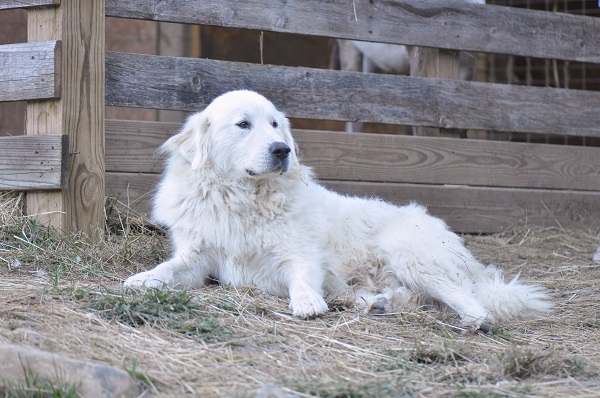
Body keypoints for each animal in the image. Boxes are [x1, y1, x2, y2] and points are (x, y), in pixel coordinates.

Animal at [124, 91, 552, 332]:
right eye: (243, 124)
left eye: (275, 124)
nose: (283, 149)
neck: (242, 198)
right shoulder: (199, 257)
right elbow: (169, 268)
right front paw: (142, 280)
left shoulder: (298, 253)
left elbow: (301, 277)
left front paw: (307, 304)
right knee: (405, 297)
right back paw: (378, 304)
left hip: (410, 254)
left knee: (471, 300)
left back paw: (473, 322)